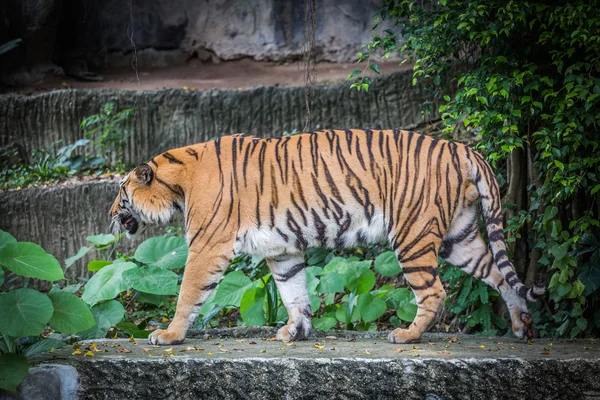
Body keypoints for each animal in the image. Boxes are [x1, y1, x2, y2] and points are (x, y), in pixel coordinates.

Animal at [110, 130, 548, 346]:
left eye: (120, 192)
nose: (110, 216)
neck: (179, 183)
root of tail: (463, 149)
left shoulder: (207, 246)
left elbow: (188, 292)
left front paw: (168, 335)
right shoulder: (282, 250)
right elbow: (294, 293)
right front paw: (296, 332)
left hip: (413, 234)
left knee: (435, 291)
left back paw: (406, 335)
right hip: (459, 237)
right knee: (499, 274)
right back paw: (522, 326)